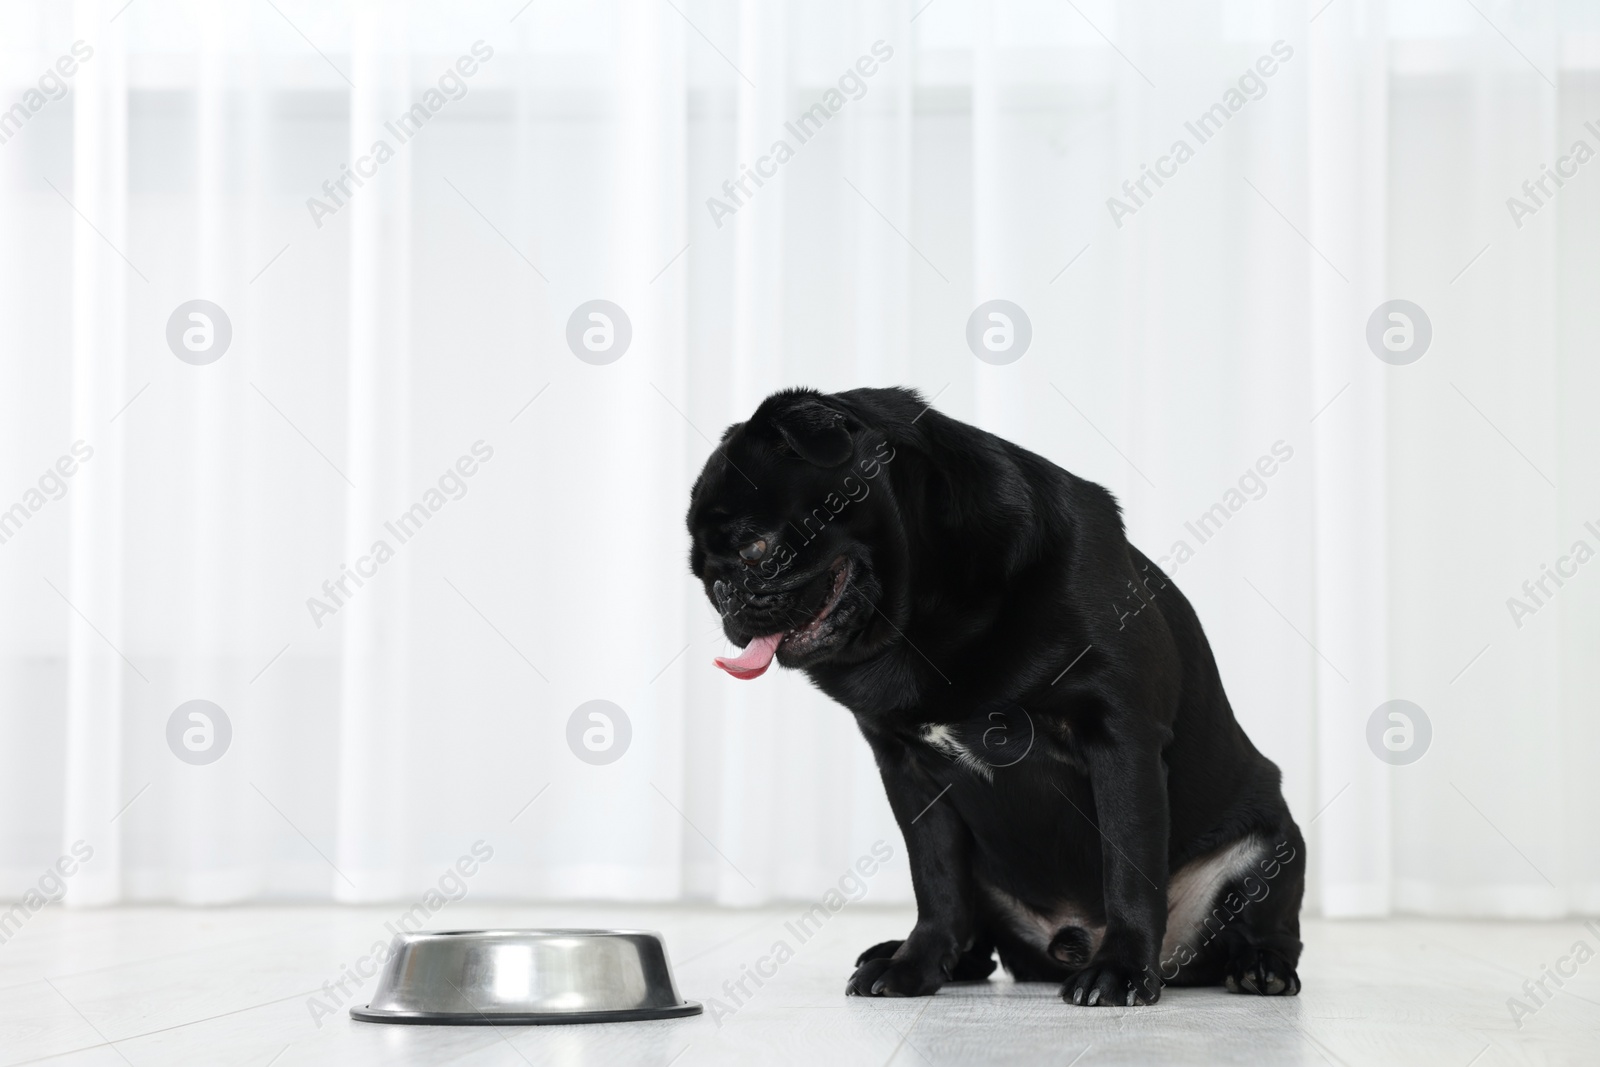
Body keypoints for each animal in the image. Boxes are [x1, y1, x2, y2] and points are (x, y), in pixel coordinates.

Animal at [684, 388, 1299, 1004]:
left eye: (756, 548)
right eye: (698, 572)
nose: (722, 590)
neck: (921, 622)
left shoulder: (1121, 741)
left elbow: (1129, 867)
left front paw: (1121, 970)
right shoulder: (907, 772)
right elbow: (935, 882)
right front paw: (916, 963)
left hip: (1271, 846)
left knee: (1270, 926)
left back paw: (1259, 966)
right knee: (974, 934)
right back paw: (917, 956)